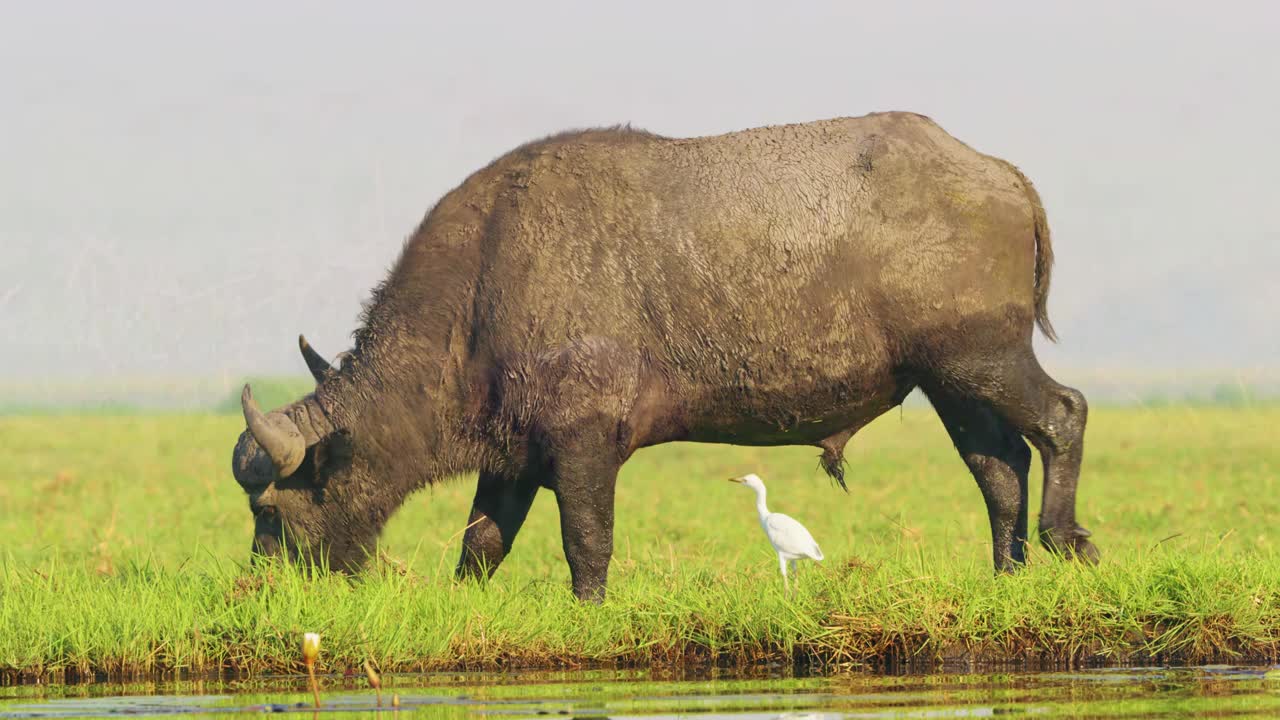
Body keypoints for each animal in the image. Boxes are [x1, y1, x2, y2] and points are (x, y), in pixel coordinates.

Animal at [230, 109, 1090, 597]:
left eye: (269, 510)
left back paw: (1065, 541)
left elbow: (586, 543)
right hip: (951, 382)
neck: (483, 284)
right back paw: (1007, 574)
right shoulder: (514, 456)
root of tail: (999, 174)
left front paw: (589, 612)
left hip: (983, 359)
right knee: (999, 466)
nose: (265, 587)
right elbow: (480, 545)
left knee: (1063, 416)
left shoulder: (582, 447)